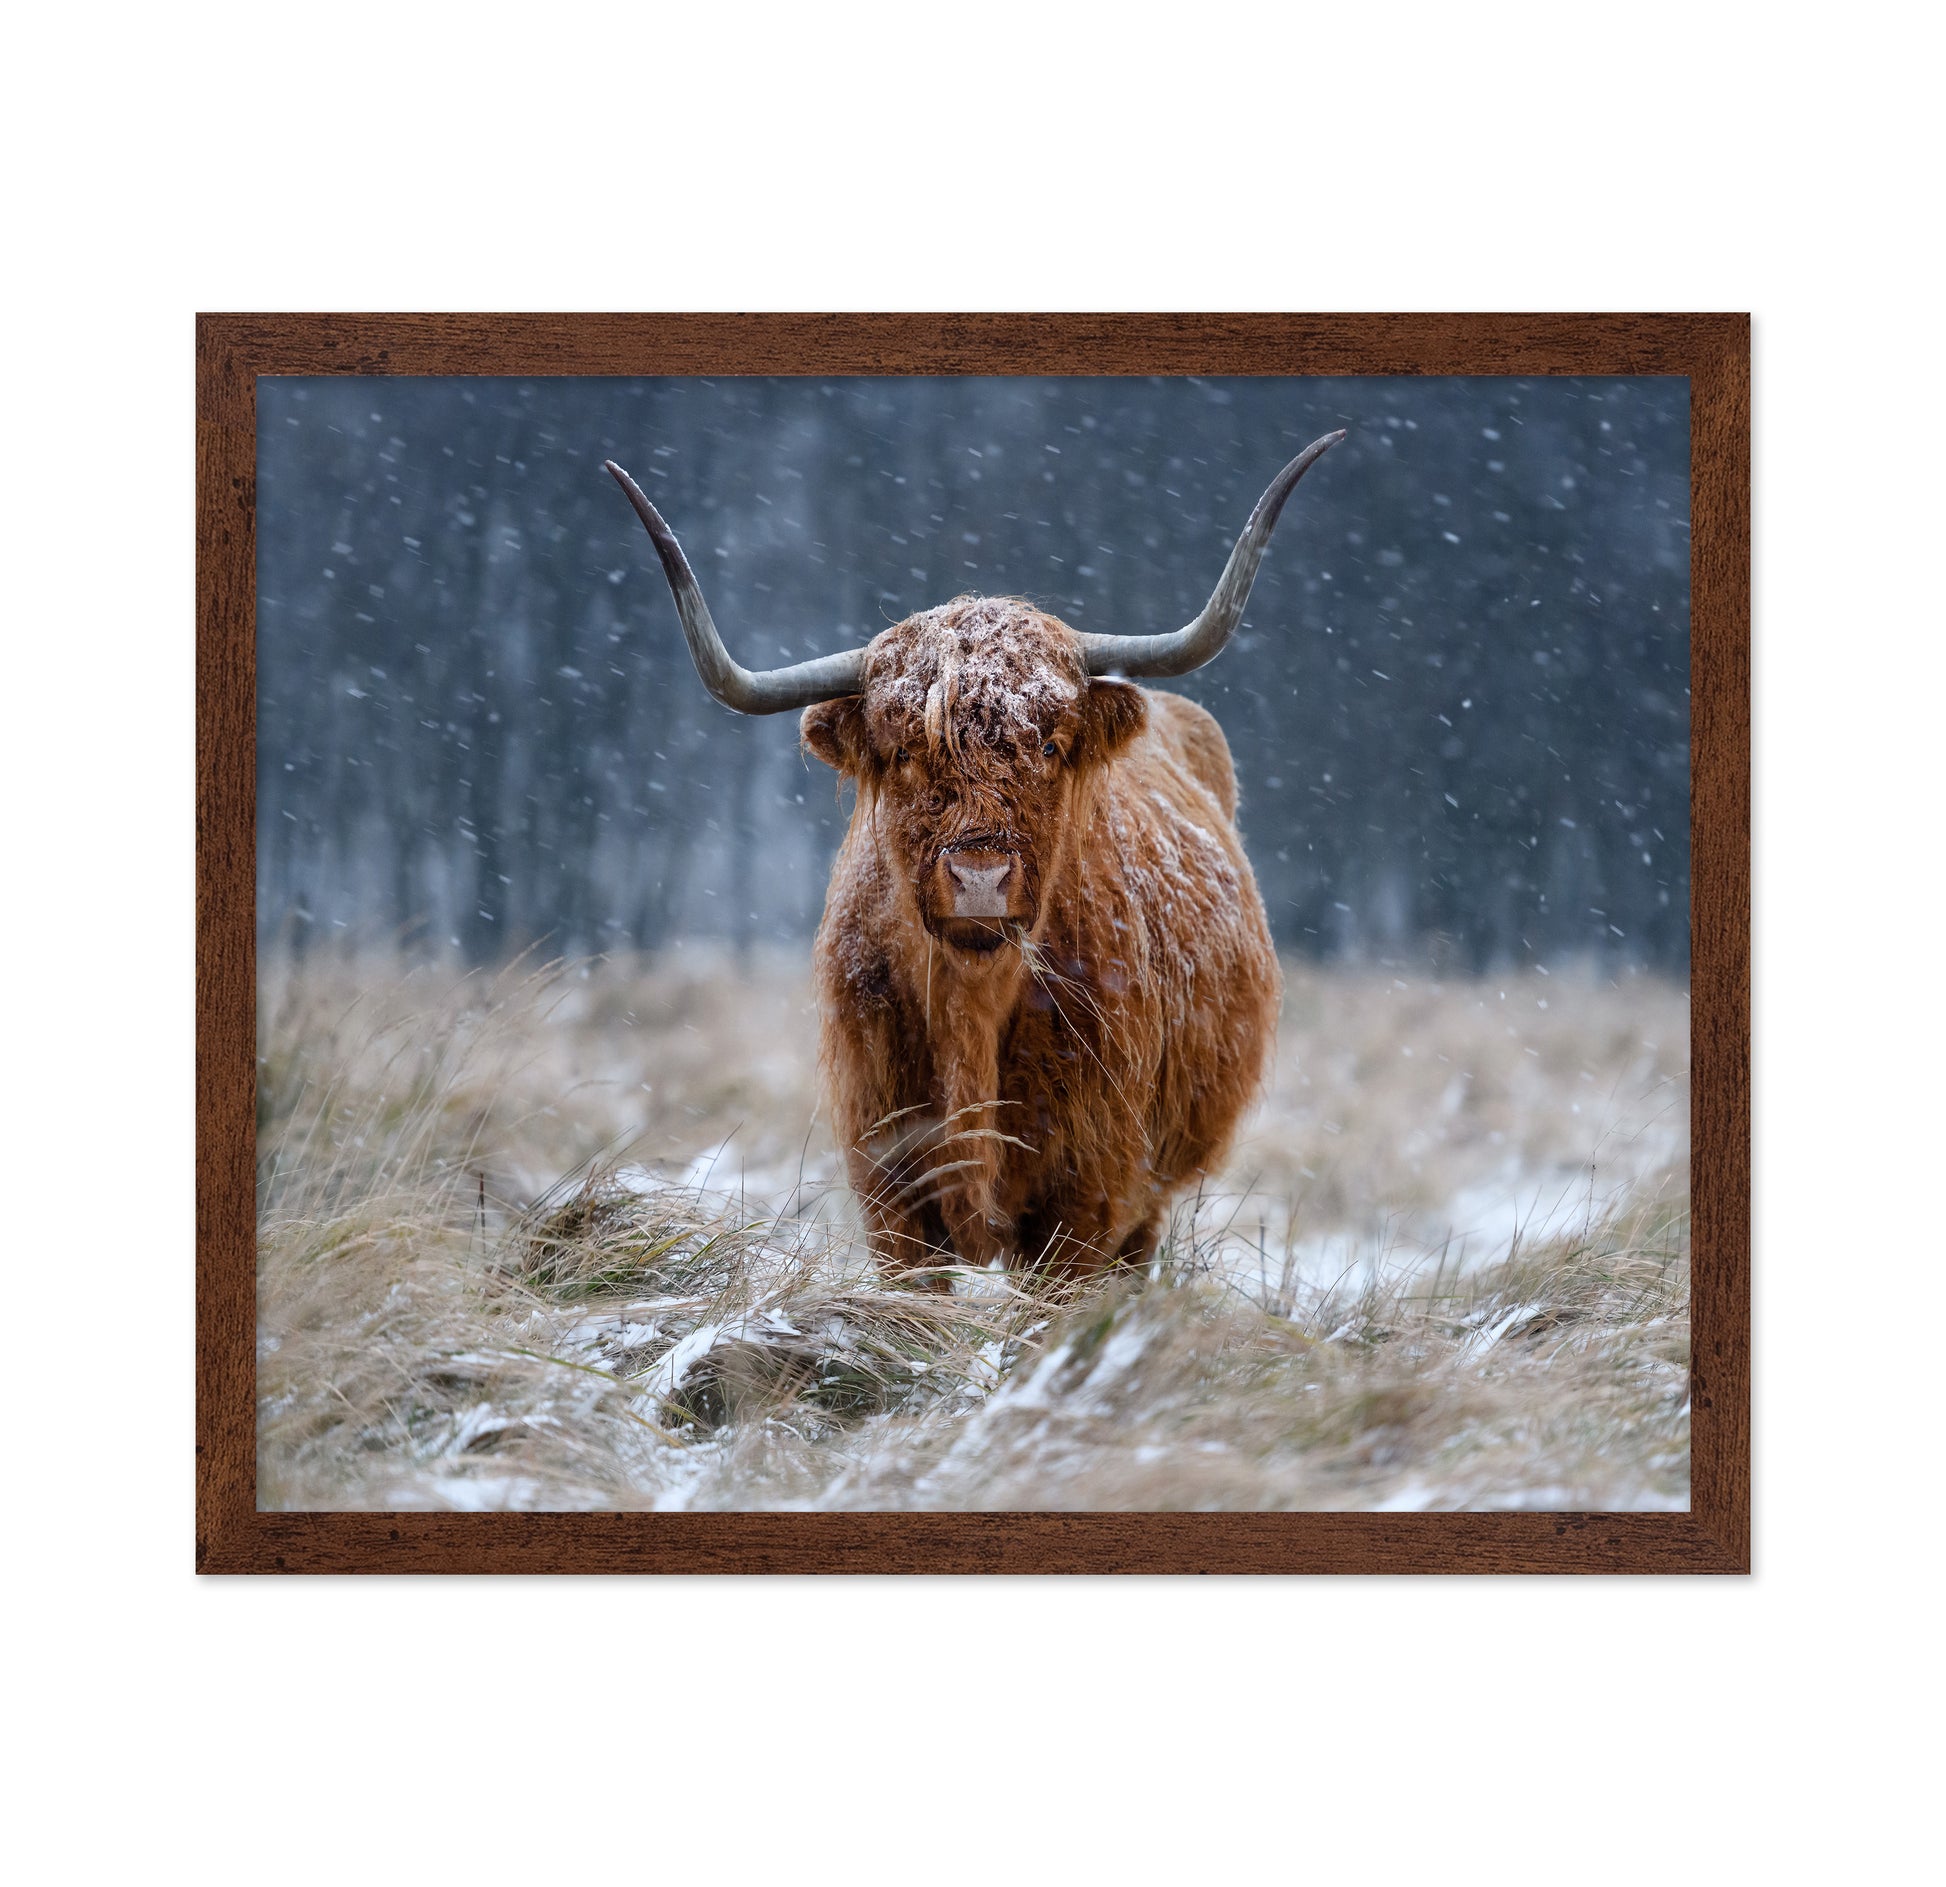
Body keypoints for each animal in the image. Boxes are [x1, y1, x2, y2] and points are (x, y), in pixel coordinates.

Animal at [606, 432, 1343, 1282]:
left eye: (1050, 746)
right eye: (903, 753)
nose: (980, 877)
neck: (972, 1007)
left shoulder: (1089, 1198)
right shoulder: (889, 1187)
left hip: (1150, 1197)